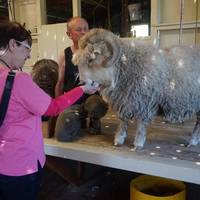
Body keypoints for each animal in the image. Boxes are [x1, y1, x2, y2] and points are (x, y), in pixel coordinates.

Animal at [72, 28, 200, 150]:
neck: (127, 65)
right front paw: (118, 140)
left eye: (90, 59)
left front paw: (138, 144)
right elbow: (123, 121)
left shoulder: (146, 102)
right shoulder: (125, 100)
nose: (82, 83)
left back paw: (192, 141)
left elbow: (141, 125)